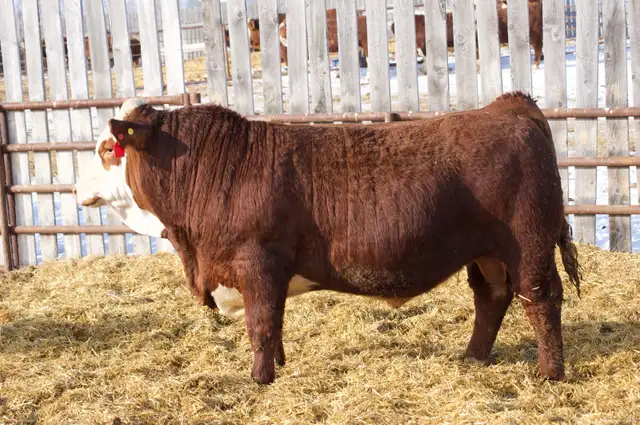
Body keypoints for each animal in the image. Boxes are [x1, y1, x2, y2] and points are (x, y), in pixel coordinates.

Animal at [74, 91, 582, 385]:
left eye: (107, 149)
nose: (75, 187)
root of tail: (508, 106)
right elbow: (275, 323)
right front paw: (277, 366)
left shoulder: (257, 263)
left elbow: (261, 325)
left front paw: (259, 379)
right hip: (487, 254)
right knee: (491, 297)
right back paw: (473, 359)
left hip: (527, 244)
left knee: (540, 299)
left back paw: (550, 374)